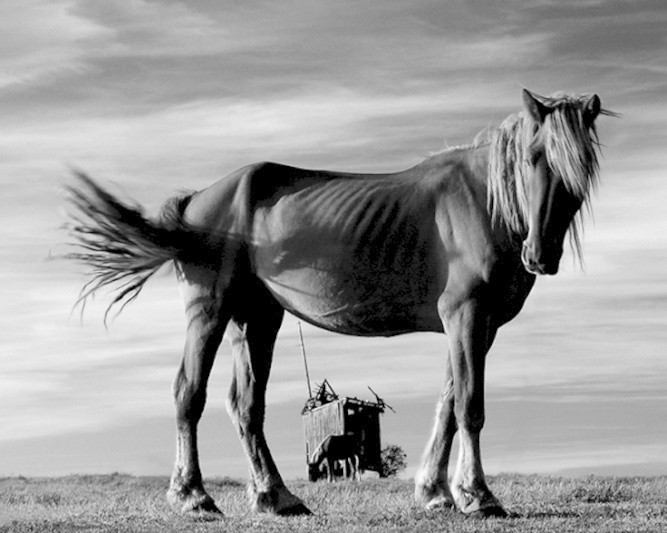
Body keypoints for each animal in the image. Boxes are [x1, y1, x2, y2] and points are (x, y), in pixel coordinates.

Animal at [66, 89, 612, 516]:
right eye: (533, 157)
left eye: (579, 169)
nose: (540, 255)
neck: (487, 203)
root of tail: (197, 199)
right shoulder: (467, 315)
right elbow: (469, 406)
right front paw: (479, 496)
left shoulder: (479, 325)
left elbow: (447, 404)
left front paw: (435, 492)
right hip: (210, 310)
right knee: (189, 393)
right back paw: (193, 496)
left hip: (256, 317)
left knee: (245, 405)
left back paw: (276, 497)